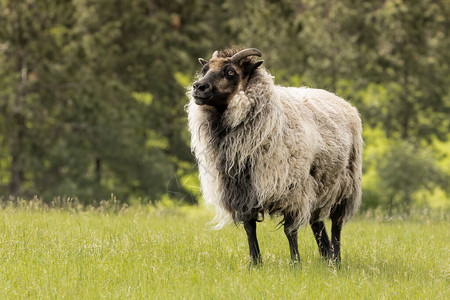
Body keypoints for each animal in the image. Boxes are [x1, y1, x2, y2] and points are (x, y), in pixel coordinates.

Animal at [186, 47, 362, 268]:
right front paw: (255, 263)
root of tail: (339, 99)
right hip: (318, 185)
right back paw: (325, 257)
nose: (198, 87)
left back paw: (335, 260)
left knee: (336, 225)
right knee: (317, 223)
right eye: (205, 69)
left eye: (230, 72)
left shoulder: (292, 189)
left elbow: (290, 230)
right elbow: (249, 228)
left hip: (344, 184)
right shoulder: (243, 190)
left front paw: (295, 264)